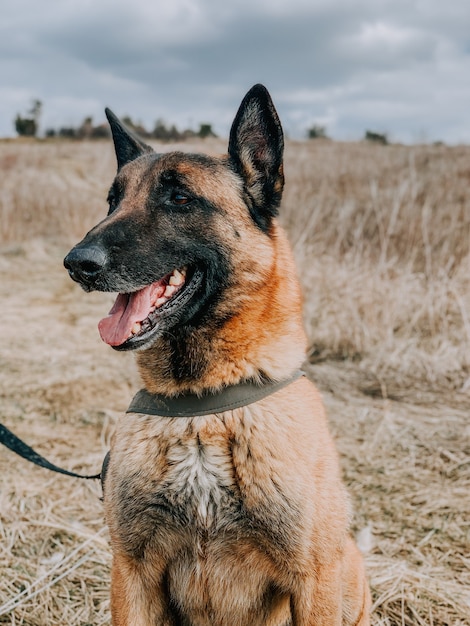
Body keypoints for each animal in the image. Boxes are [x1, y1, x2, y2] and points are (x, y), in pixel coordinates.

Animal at [63, 84, 370, 624]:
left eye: (180, 198)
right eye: (112, 201)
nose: (77, 263)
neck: (202, 406)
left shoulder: (314, 579)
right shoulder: (131, 573)